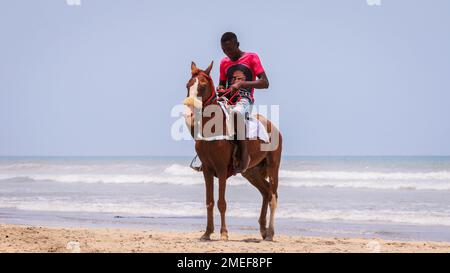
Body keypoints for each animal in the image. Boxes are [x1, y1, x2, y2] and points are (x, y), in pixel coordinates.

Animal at [182, 61, 282, 240]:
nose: (189, 115)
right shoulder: (207, 169)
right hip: (251, 171)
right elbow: (209, 202)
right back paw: (263, 230)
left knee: (273, 196)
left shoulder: (222, 169)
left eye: (202, 86)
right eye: (188, 85)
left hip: (273, 167)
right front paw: (207, 233)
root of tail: (274, 128)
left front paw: (223, 233)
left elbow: (221, 202)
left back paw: (270, 233)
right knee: (265, 192)